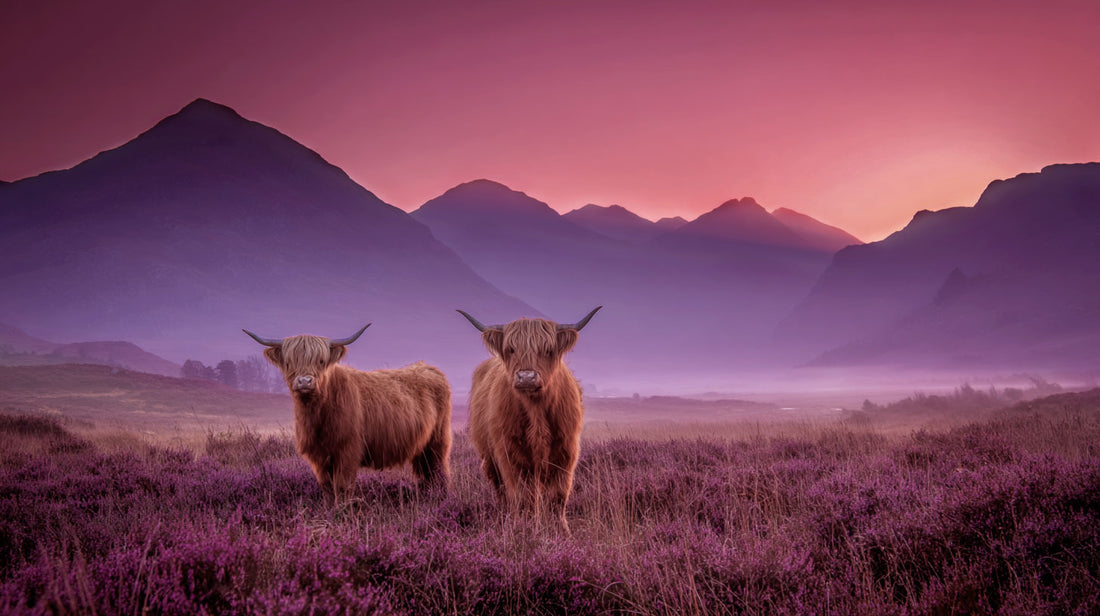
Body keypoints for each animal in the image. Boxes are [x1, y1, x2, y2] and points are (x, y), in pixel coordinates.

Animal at [243, 324, 451, 504]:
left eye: (321, 361)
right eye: (288, 363)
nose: (304, 381)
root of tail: (428, 367)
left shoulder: (348, 451)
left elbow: (342, 486)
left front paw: (342, 512)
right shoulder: (319, 456)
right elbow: (327, 487)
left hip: (437, 440)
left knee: (438, 470)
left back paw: (441, 500)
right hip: (422, 447)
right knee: (425, 473)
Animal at [457, 306, 601, 533]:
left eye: (548, 349)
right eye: (511, 349)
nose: (526, 377)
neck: (536, 412)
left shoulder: (566, 451)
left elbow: (558, 495)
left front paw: (560, 530)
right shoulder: (510, 452)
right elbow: (522, 495)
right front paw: (523, 527)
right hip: (489, 457)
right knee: (501, 489)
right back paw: (505, 517)